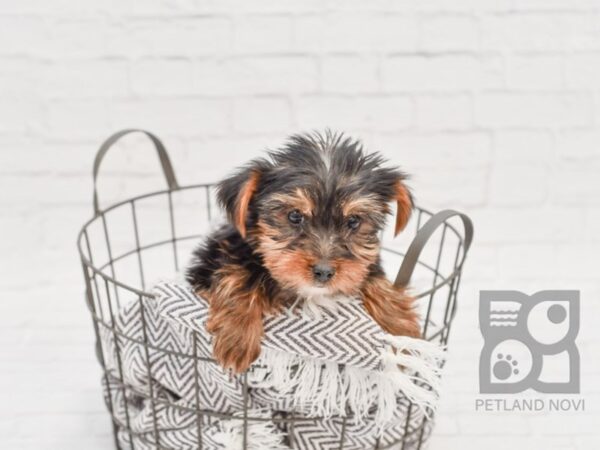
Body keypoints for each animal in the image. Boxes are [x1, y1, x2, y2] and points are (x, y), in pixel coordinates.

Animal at [185, 131, 420, 372]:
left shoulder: (363, 264)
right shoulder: (219, 254)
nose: (324, 272)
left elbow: (373, 277)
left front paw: (401, 330)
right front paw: (237, 337)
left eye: (353, 221)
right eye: (295, 216)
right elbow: (236, 275)